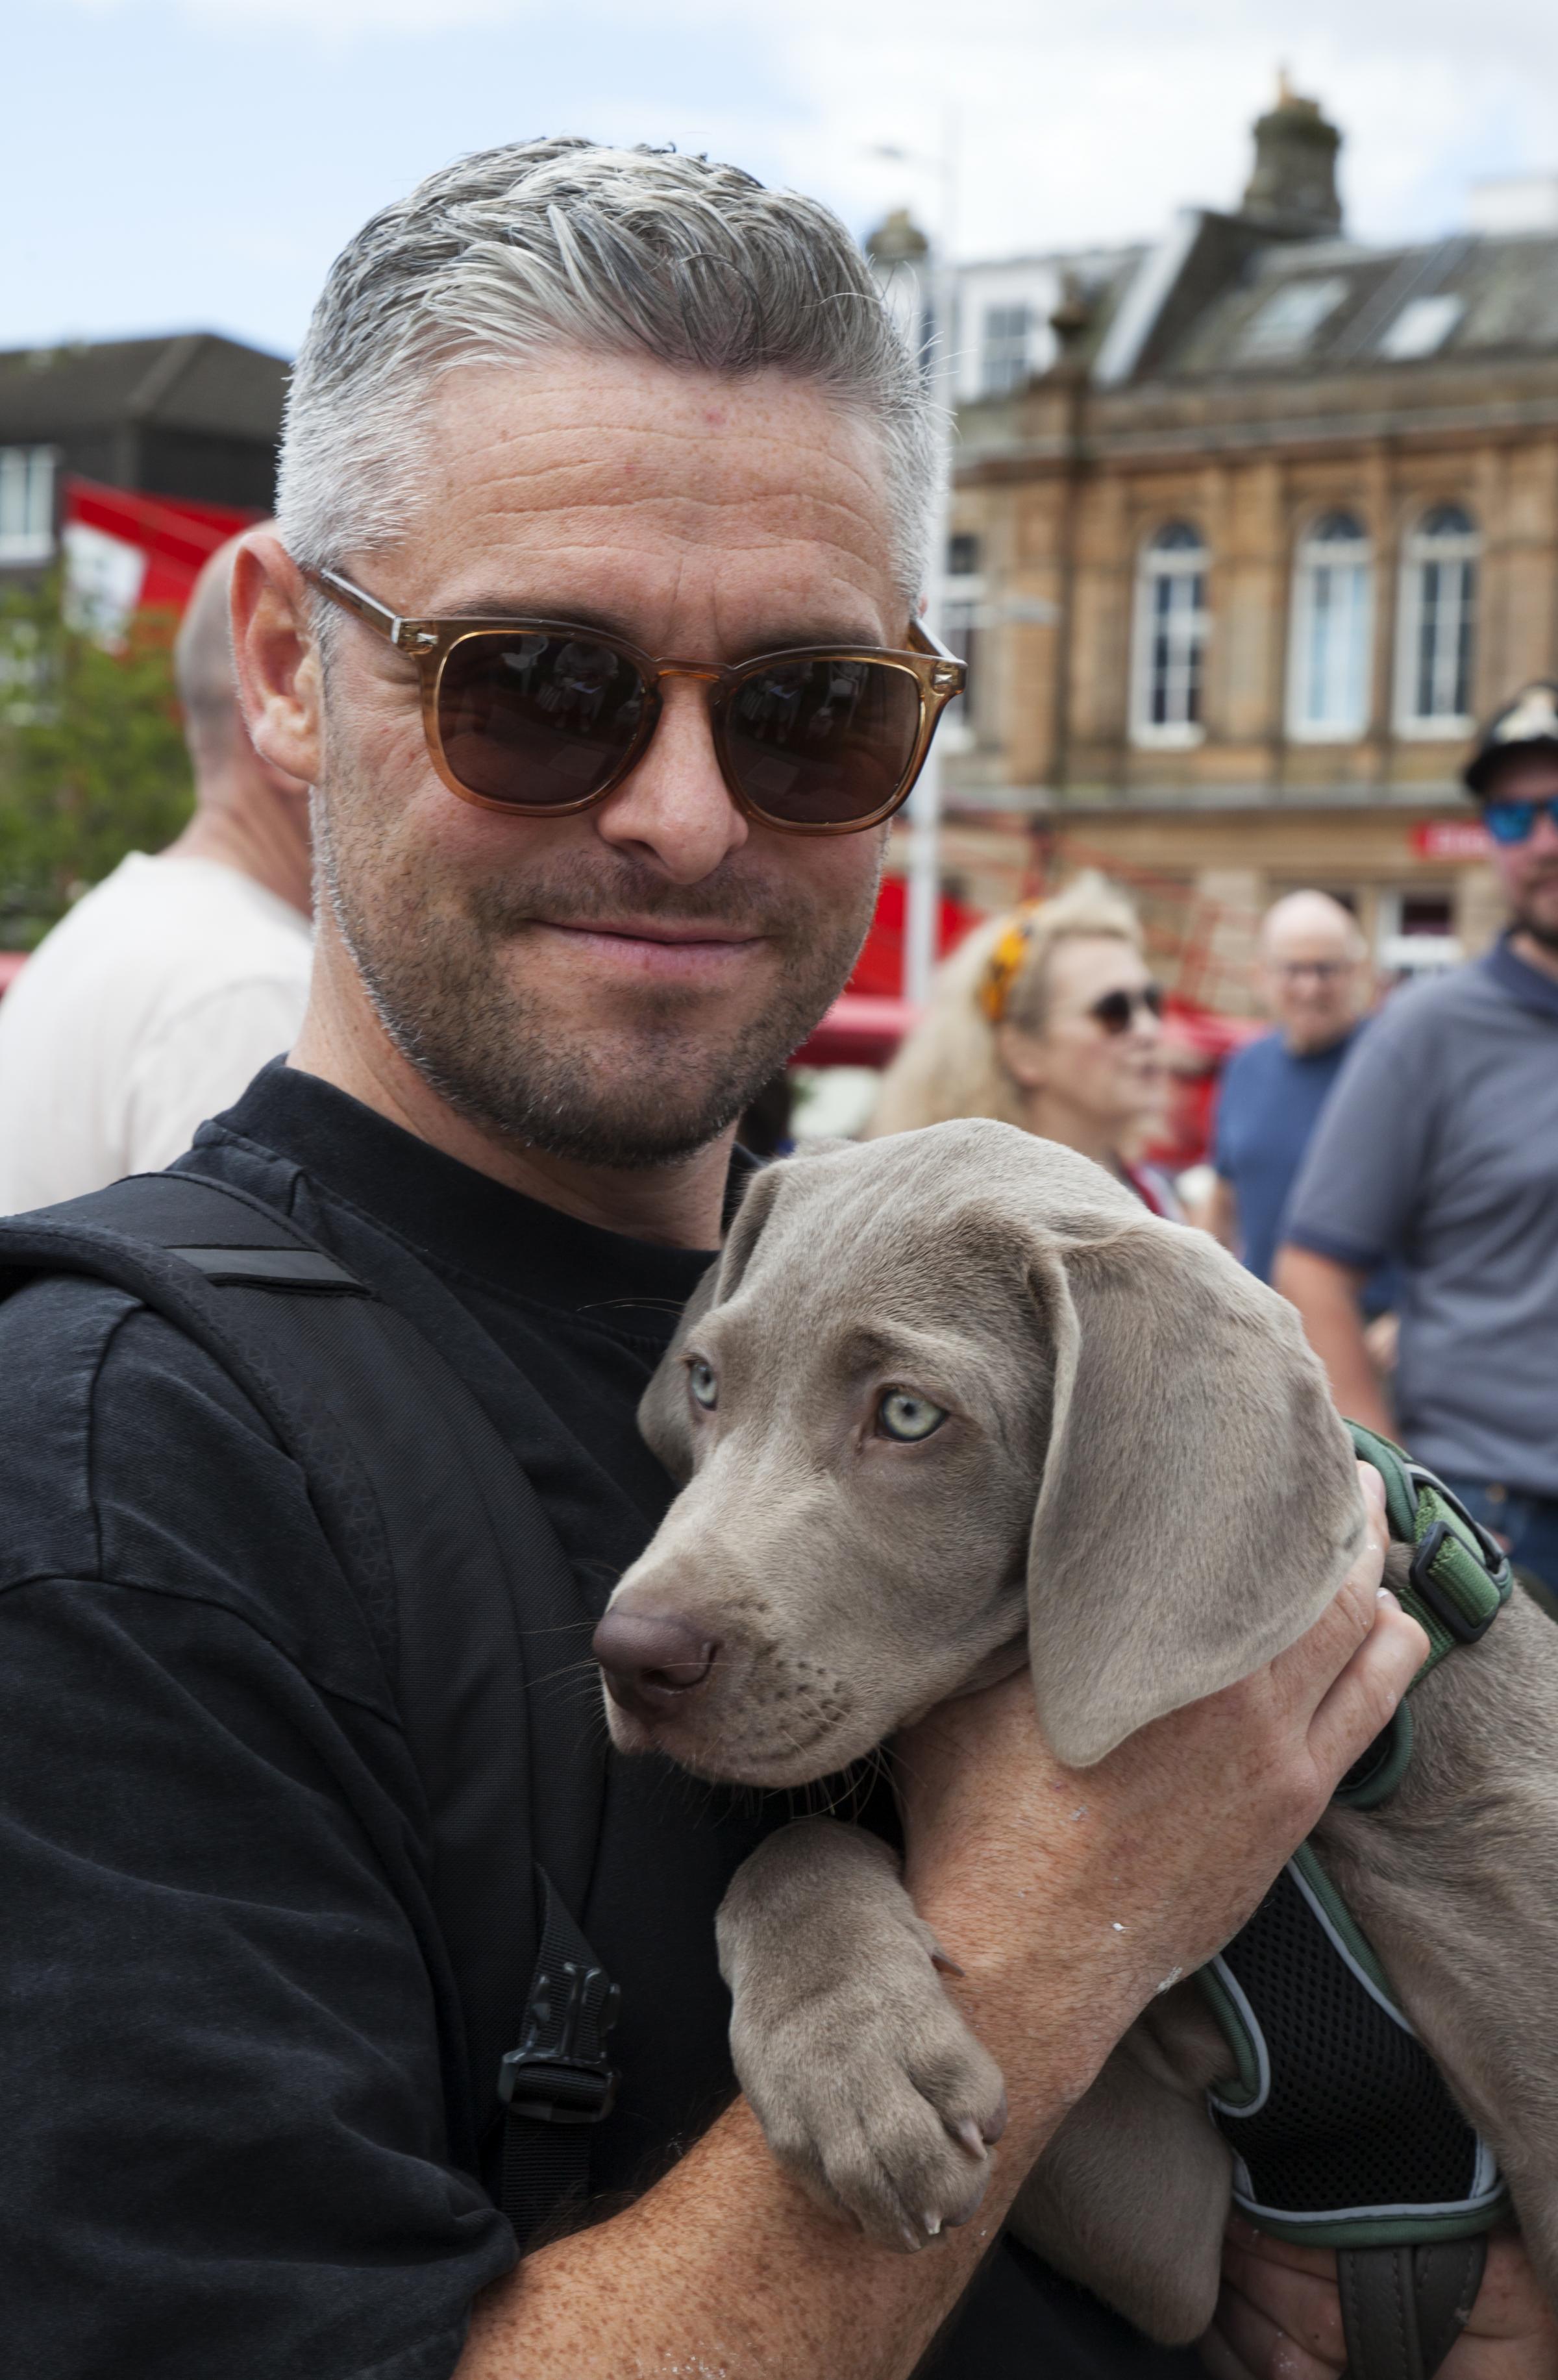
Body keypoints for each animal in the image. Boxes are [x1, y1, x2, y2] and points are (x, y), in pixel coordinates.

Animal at [593, 1123, 1558, 2332]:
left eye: (908, 1413)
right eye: (708, 1380)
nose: (632, 1655)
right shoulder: (1182, 2238)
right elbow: (795, 1842)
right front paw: (857, 2065)